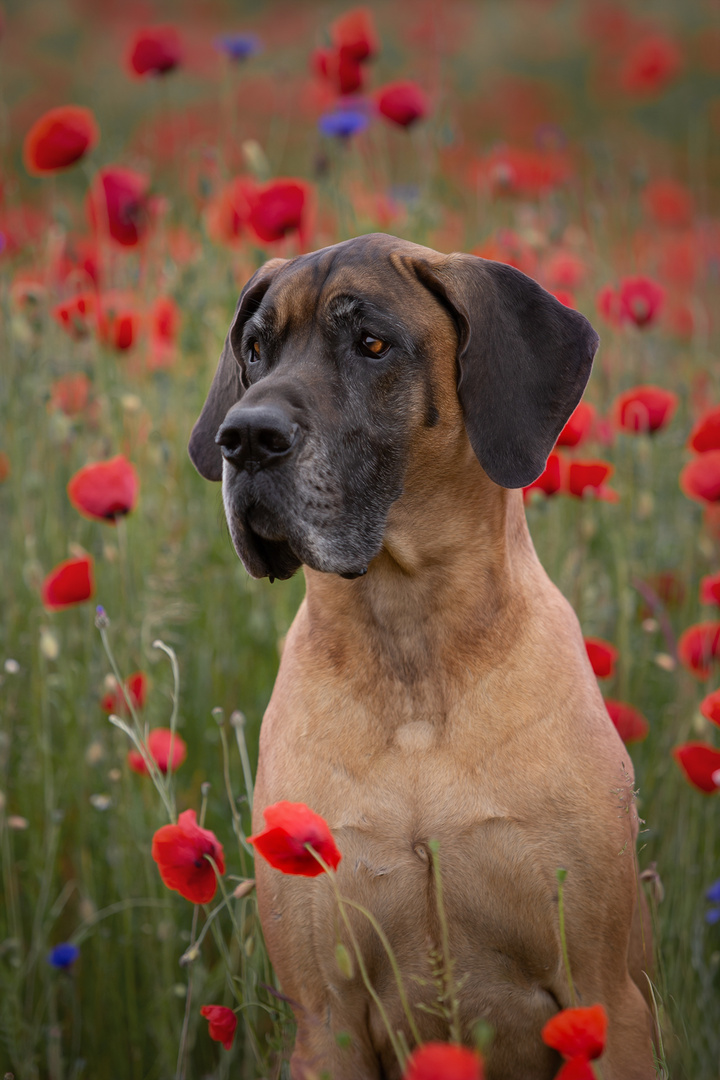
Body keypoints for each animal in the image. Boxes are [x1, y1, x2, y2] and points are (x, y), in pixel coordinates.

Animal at [188, 232, 656, 1075]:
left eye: (372, 344)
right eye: (255, 349)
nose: (242, 437)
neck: (410, 643)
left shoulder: (605, 997)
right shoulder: (326, 1018)